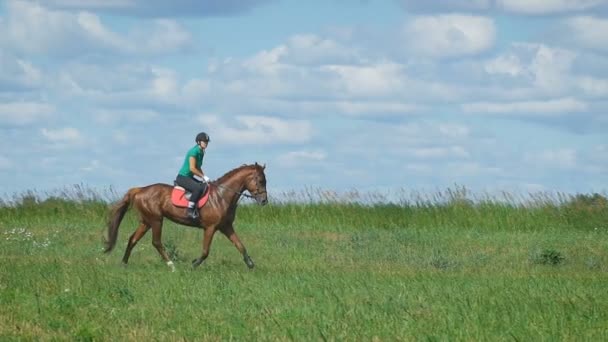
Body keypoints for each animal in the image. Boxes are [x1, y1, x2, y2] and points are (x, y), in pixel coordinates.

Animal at [103, 162, 268, 272]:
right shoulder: (210, 227)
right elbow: (205, 251)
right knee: (156, 242)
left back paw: (124, 263)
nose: (264, 201)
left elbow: (240, 245)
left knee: (133, 239)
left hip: (146, 221)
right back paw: (171, 265)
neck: (222, 196)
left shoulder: (226, 227)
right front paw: (193, 264)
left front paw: (251, 264)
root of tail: (139, 190)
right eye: (260, 181)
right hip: (156, 220)